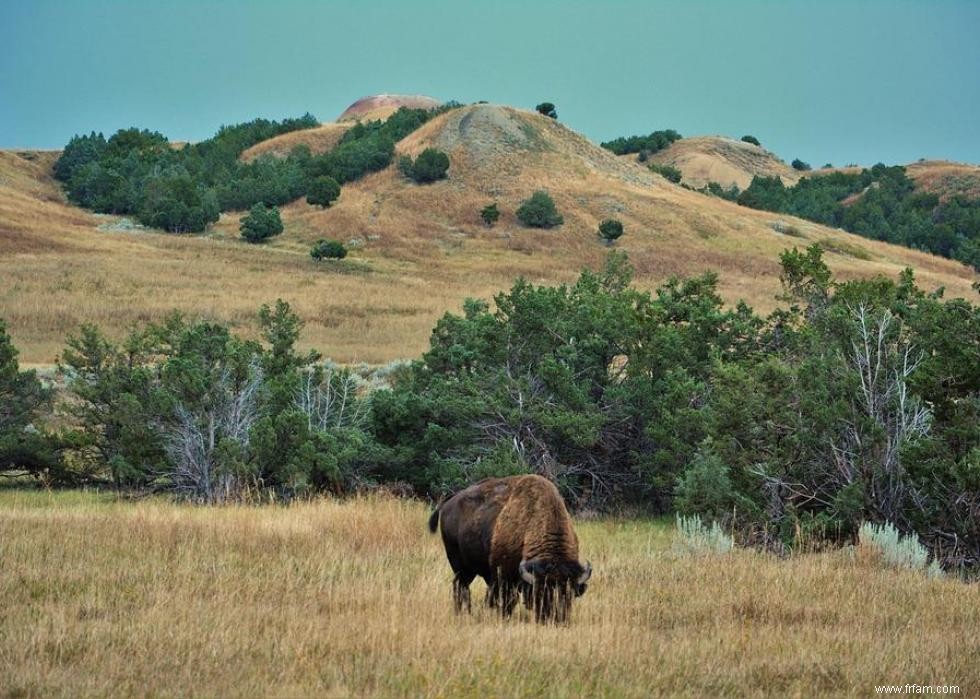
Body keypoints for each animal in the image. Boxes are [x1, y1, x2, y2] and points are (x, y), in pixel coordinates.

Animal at [426, 476, 588, 624]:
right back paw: (463, 613)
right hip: (459, 565)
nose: (555, 619)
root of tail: (449, 501)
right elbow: (506, 600)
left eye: (570, 594)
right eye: (541, 592)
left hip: (469, 570)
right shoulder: (504, 576)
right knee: (461, 587)